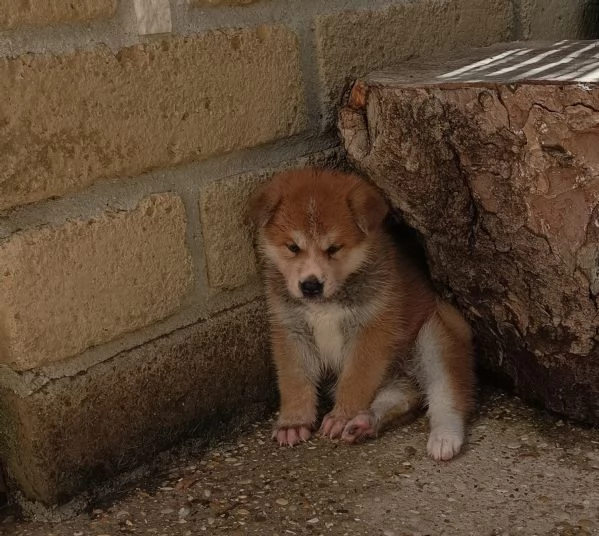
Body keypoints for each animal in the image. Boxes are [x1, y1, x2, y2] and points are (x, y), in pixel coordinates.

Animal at [247, 169, 474, 460]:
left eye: (334, 248)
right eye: (292, 247)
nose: (310, 285)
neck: (327, 303)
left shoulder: (371, 330)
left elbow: (355, 379)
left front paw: (341, 416)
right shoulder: (292, 330)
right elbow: (295, 380)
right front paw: (293, 423)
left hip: (435, 336)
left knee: (448, 396)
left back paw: (444, 438)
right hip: (397, 379)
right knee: (399, 399)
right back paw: (364, 423)